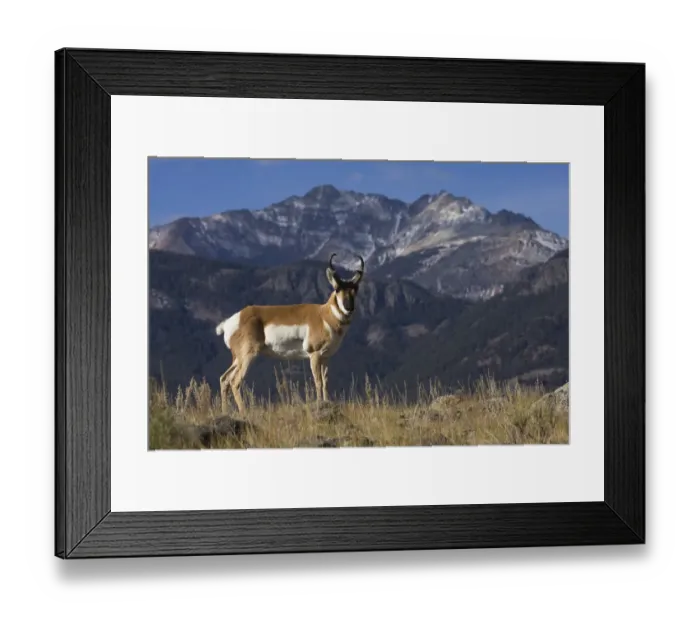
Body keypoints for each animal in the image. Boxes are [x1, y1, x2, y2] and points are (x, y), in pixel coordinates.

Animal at [215, 254, 365, 413]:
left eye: (355, 289)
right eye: (337, 289)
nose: (349, 307)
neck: (323, 315)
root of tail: (232, 320)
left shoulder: (326, 357)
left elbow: (325, 381)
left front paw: (327, 402)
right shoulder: (314, 354)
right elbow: (318, 381)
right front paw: (320, 403)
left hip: (238, 359)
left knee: (224, 379)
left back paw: (225, 411)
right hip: (248, 356)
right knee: (234, 381)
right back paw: (244, 411)